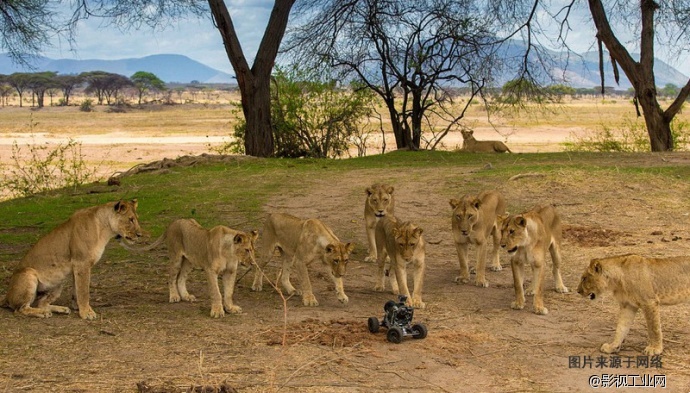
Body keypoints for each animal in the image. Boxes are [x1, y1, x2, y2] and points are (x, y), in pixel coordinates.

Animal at [1, 199, 141, 318]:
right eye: (130, 219)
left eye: (136, 219)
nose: (139, 234)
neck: (104, 228)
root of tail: (6, 297)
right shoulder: (81, 263)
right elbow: (84, 290)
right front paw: (86, 313)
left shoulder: (77, 267)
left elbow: (77, 289)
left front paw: (78, 307)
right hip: (29, 273)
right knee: (20, 309)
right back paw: (43, 313)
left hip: (58, 281)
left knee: (41, 303)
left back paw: (60, 309)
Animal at [123, 219, 255, 316]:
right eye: (247, 250)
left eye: (252, 250)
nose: (253, 263)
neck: (229, 253)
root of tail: (173, 223)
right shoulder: (210, 270)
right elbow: (216, 292)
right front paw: (217, 311)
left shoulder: (230, 271)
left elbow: (229, 292)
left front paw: (230, 308)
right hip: (176, 258)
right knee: (171, 278)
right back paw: (174, 296)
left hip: (189, 261)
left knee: (180, 278)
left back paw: (186, 296)